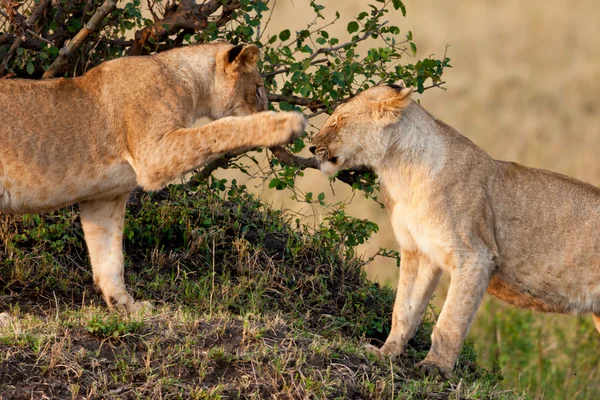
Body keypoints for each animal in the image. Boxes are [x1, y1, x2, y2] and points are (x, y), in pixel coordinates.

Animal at [0, 42, 308, 320]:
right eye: (258, 88)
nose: (266, 105)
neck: (188, 80)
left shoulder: (104, 198)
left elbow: (109, 257)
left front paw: (126, 307)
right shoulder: (155, 155)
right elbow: (219, 129)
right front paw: (284, 123)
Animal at [310, 83, 600, 378]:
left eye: (339, 120)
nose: (311, 147)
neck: (398, 171)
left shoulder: (475, 257)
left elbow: (451, 319)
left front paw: (435, 367)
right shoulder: (417, 251)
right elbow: (404, 309)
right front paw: (386, 353)